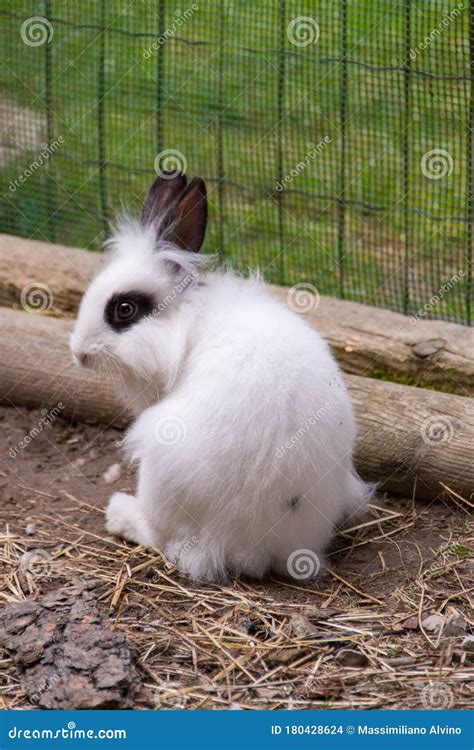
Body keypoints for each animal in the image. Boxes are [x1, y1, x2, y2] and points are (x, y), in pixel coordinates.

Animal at [69, 173, 370, 584]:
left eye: (124, 309)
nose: (78, 352)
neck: (187, 320)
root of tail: (262, 545)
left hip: (158, 468)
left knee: (166, 540)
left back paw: (120, 514)